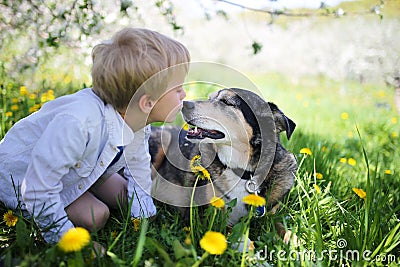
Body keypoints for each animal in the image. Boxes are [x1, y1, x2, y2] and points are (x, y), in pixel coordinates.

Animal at [149, 88, 296, 243]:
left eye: (226, 102)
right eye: (210, 98)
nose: (184, 104)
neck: (243, 173)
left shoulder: (269, 216)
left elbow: (285, 230)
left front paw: (294, 244)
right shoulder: (209, 218)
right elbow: (232, 234)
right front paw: (247, 247)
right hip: (163, 139)